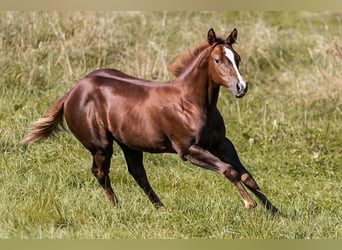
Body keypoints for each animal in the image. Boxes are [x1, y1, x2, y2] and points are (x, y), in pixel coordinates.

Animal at [23, 27, 284, 219]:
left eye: (237, 59)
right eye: (218, 60)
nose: (241, 88)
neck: (191, 103)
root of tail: (73, 91)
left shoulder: (221, 143)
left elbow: (246, 175)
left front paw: (278, 214)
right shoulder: (187, 150)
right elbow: (229, 170)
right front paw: (249, 203)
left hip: (129, 144)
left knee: (137, 173)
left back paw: (161, 209)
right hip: (101, 146)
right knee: (100, 172)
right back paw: (117, 209)